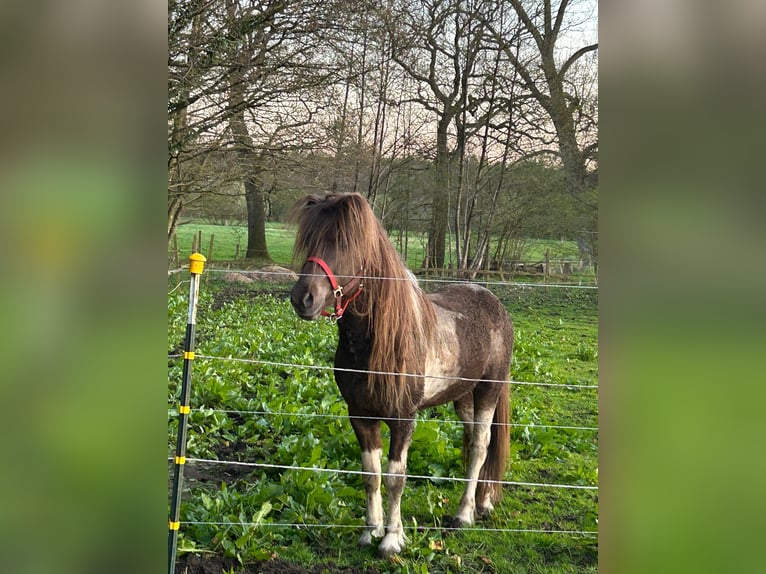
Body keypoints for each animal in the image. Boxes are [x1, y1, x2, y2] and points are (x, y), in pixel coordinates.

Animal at [289, 192, 514, 557]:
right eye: (309, 240)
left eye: (344, 242)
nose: (303, 298)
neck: (377, 343)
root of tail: (494, 301)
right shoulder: (361, 416)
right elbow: (371, 474)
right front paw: (370, 531)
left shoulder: (403, 418)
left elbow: (396, 477)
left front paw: (392, 540)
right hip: (462, 397)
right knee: (471, 445)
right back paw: (482, 503)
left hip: (487, 391)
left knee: (481, 446)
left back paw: (464, 514)